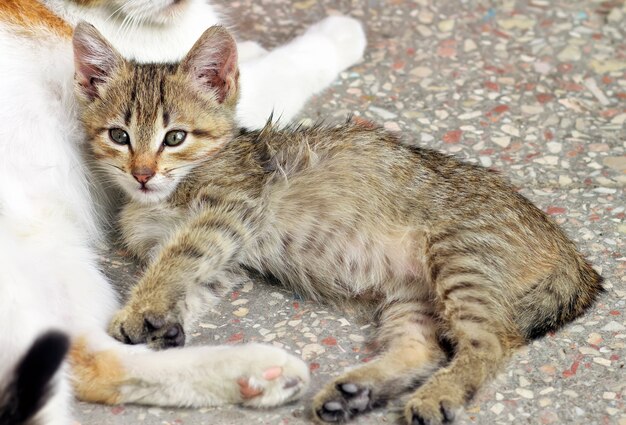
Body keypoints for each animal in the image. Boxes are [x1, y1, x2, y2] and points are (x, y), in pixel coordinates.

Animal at [0, 0, 364, 422]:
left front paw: (248, 47)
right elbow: (284, 68)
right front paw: (337, 35)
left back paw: (251, 378)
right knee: (95, 361)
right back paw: (256, 367)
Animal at [75, 24, 604, 424]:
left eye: (175, 137)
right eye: (119, 136)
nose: (143, 174)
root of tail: (573, 252)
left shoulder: (232, 211)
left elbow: (180, 257)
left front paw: (140, 308)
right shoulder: (230, 255)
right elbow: (192, 276)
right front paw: (165, 321)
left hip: (460, 256)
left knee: (490, 341)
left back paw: (439, 395)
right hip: (413, 298)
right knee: (423, 350)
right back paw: (358, 392)